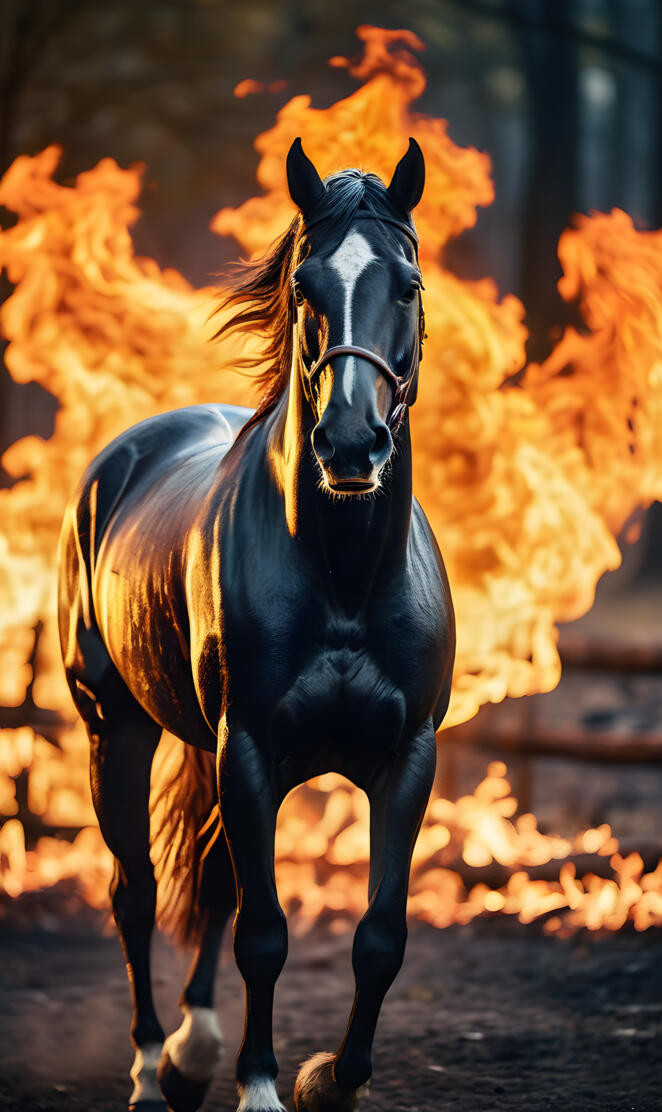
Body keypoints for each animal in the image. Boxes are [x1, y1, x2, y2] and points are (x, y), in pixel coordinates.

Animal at [57, 136, 455, 1112]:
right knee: (136, 892)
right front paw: (264, 1084)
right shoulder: (249, 753)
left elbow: (378, 939)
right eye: (307, 286)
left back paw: (191, 1051)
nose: (350, 445)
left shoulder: (406, 760)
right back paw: (150, 1068)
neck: (344, 579)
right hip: (116, 728)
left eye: (409, 286)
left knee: (210, 882)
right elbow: (265, 935)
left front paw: (327, 1081)